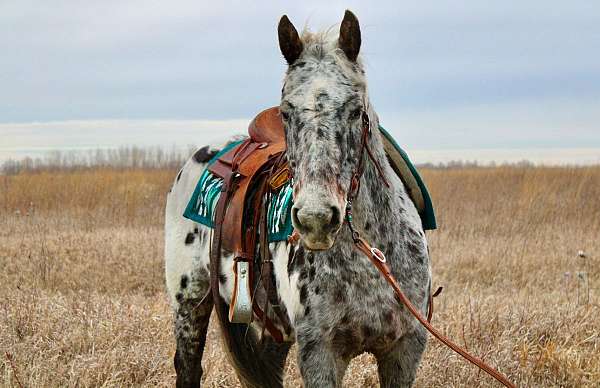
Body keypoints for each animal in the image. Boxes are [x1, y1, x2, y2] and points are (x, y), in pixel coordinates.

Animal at [164, 9, 510, 388]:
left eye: (356, 110)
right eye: (285, 112)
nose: (316, 220)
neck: (370, 257)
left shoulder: (404, 349)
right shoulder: (320, 352)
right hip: (190, 303)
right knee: (188, 366)